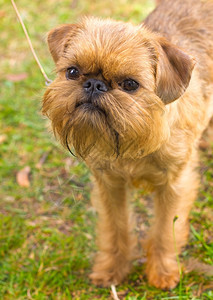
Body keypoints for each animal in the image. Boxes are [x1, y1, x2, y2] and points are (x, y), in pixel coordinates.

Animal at [42, 0, 213, 290]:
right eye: (72, 72)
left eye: (130, 84)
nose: (94, 84)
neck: (136, 141)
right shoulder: (110, 186)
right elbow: (115, 228)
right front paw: (113, 268)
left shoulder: (175, 185)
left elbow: (165, 230)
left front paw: (163, 272)